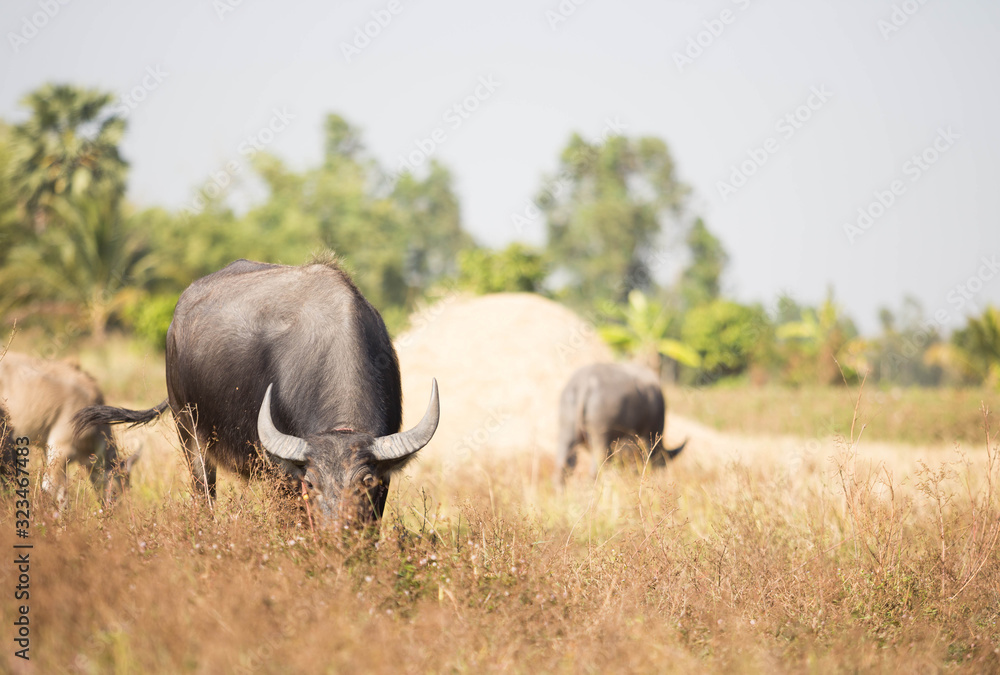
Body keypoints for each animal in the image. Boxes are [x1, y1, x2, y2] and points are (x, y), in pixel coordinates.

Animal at [75, 258, 440, 529]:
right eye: (311, 483)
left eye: (365, 483)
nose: (335, 533)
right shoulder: (283, 476)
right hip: (187, 428)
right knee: (203, 490)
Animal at [556, 362, 686, 483]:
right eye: (662, 464)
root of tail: (586, 383)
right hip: (600, 437)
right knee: (595, 469)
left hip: (567, 433)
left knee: (562, 469)